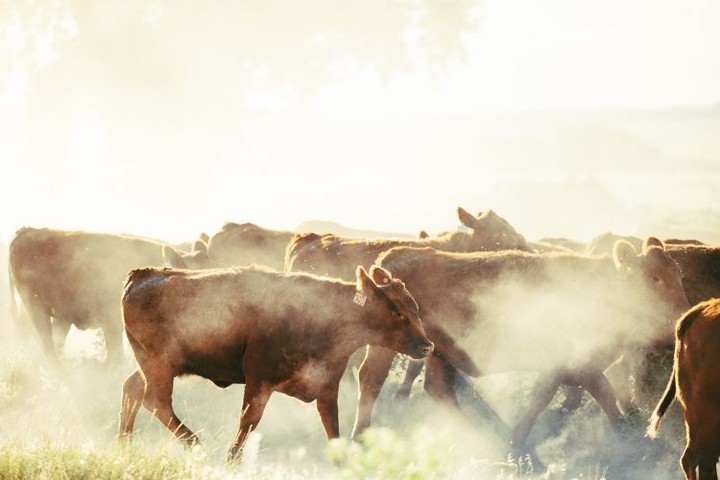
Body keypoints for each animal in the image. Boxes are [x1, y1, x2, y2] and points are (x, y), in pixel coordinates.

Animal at [117, 264, 434, 462]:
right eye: (396, 310)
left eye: (415, 307)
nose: (426, 345)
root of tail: (141, 275)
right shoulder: (259, 383)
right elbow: (247, 424)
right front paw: (230, 461)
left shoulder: (326, 389)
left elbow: (333, 432)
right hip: (160, 366)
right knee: (156, 401)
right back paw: (196, 444)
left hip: (152, 367)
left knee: (133, 389)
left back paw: (125, 447)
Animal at [351, 238, 690, 458]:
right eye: (654, 277)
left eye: (678, 273)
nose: (683, 313)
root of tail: (392, 258)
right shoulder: (571, 364)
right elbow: (589, 394)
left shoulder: (572, 368)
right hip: (385, 347)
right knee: (371, 380)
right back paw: (359, 437)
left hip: (438, 352)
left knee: (438, 388)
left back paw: (485, 432)